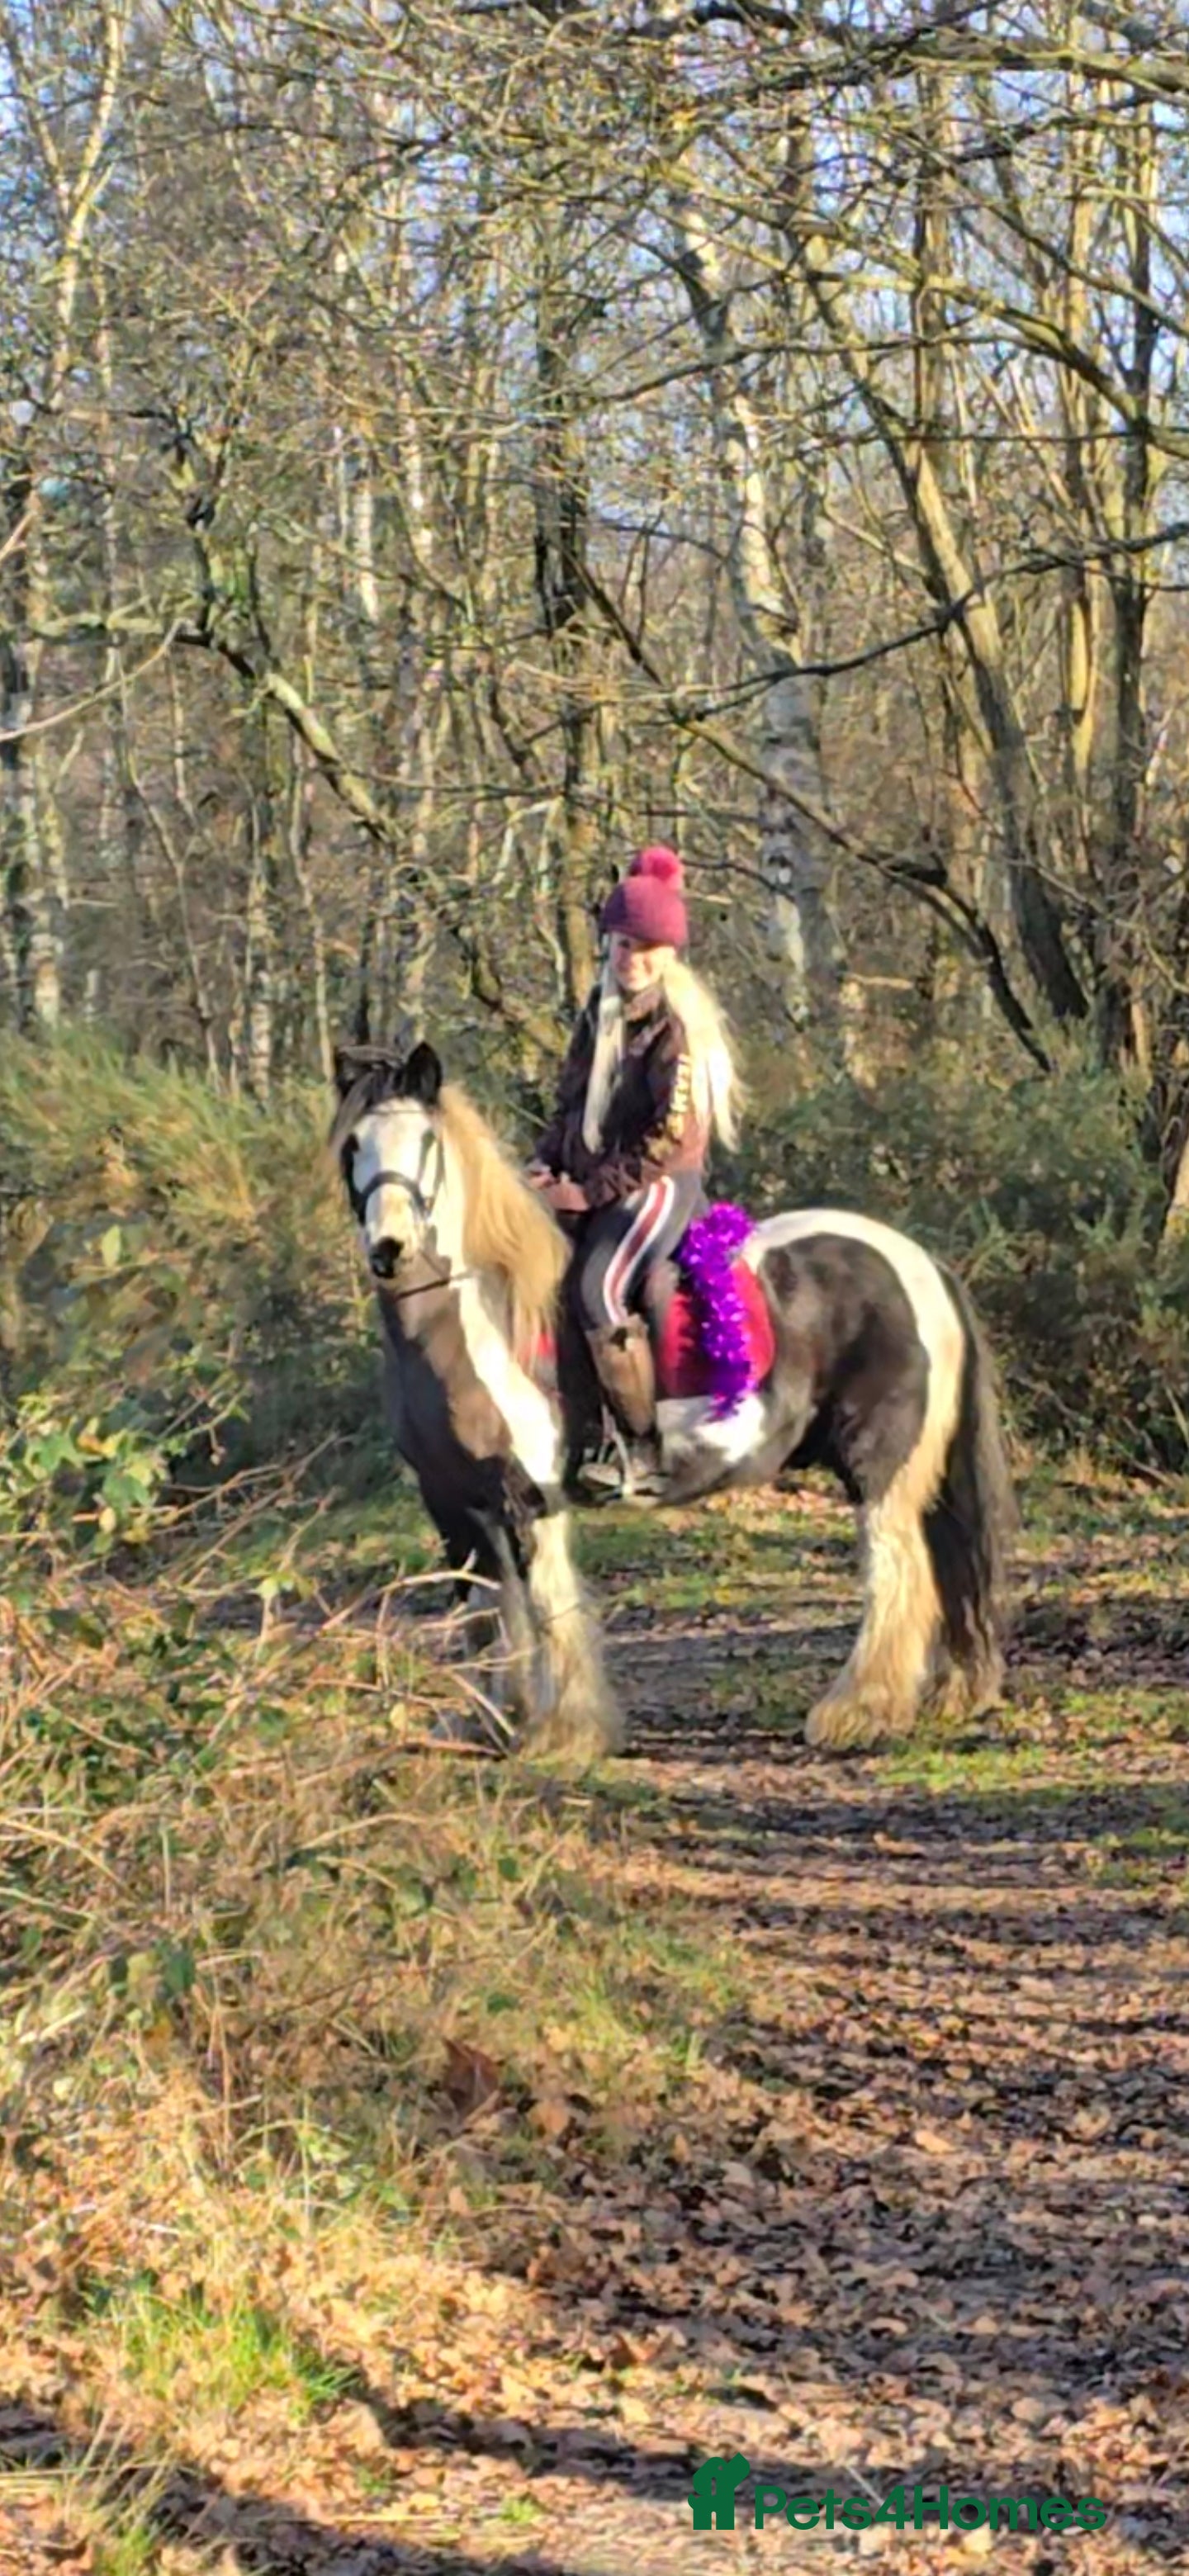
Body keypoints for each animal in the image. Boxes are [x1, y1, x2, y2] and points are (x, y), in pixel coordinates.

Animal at [331, 1038, 1015, 1757]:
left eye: (427, 1141)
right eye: (352, 1145)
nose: (390, 1249)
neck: (481, 1314)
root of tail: (920, 1261)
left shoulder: (530, 1497)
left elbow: (551, 1609)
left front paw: (565, 1734)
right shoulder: (453, 1504)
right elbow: (483, 1618)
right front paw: (488, 1724)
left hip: (880, 1463)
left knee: (898, 1572)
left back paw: (858, 1711)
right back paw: (944, 1697)